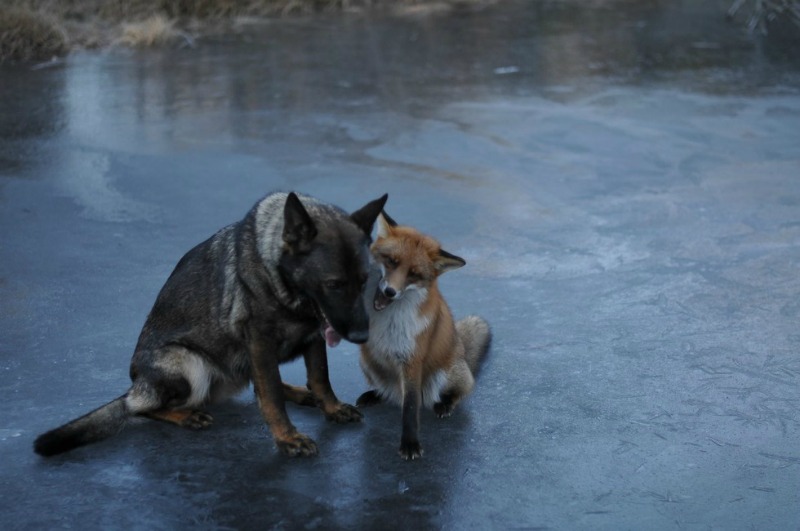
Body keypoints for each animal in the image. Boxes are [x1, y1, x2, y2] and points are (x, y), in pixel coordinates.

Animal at [32, 191, 390, 458]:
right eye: (334, 284)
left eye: (364, 281)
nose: (361, 336)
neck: (280, 278)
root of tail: (135, 386)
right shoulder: (260, 341)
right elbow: (272, 395)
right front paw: (287, 438)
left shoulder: (314, 336)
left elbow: (319, 377)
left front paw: (330, 407)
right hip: (189, 365)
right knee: (143, 408)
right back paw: (186, 415)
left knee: (257, 383)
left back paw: (303, 395)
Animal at [358, 212, 494, 462]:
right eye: (391, 261)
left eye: (414, 274)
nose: (390, 291)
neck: (388, 321)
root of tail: (461, 351)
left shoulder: (412, 359)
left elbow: (411, 408)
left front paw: (410, 444)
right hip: (367, 361)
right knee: (389, 392)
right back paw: (376, 395)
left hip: (444, 375)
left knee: (461, 390)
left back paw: (445, 404)